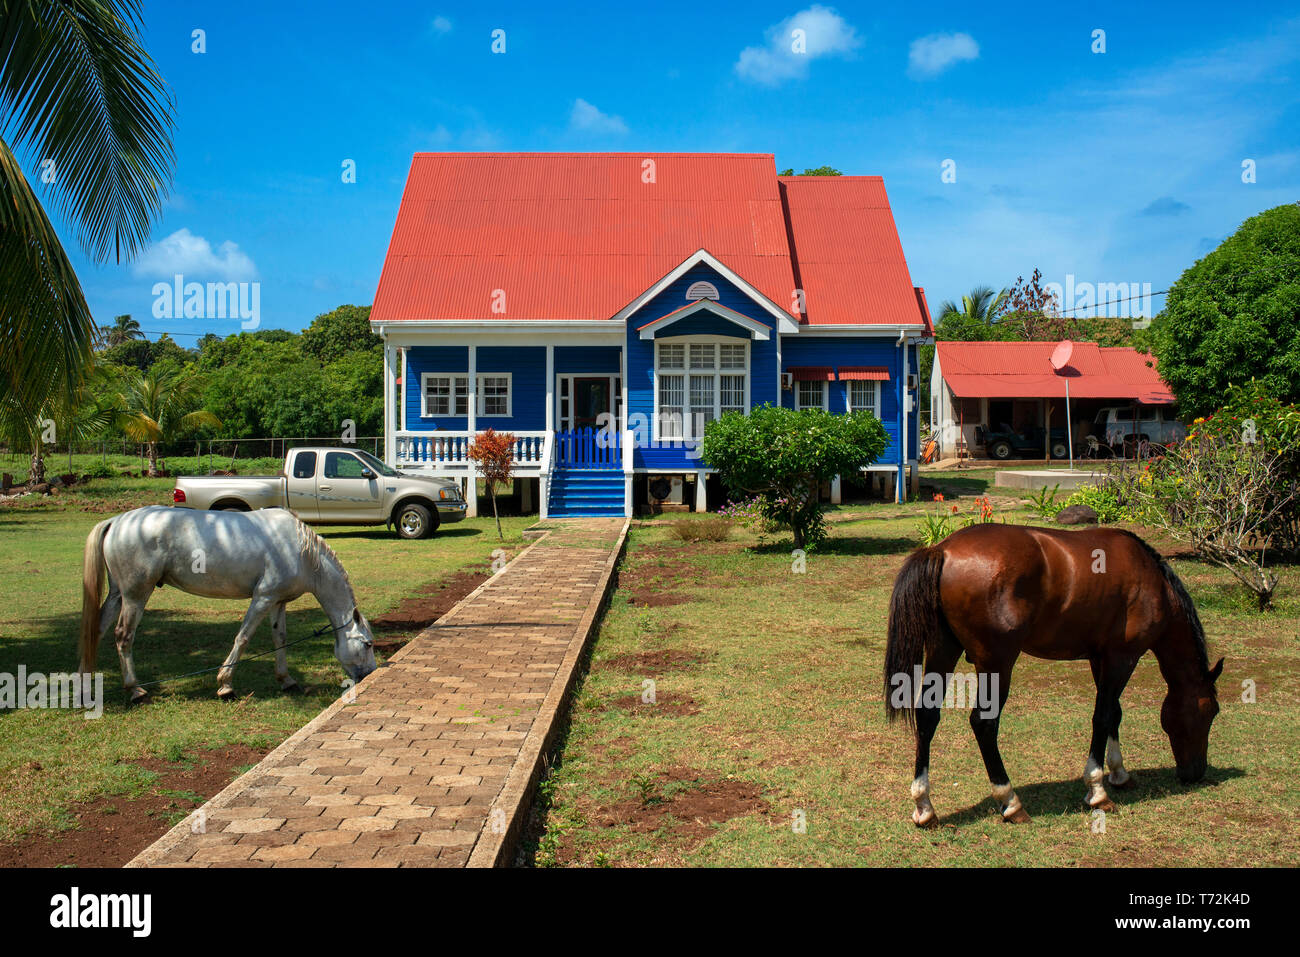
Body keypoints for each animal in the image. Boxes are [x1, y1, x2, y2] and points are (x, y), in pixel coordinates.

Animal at [79, 509, 377, 702]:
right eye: (367, 644)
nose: (370, 676)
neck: (302, 552)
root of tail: (116, 521)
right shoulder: (263, 598)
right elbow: (243, 638)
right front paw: (225, 685)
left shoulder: (277, 601)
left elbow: (279, 638)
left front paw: (286, 680)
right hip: (135, 596)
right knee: (123, 637)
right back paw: (135, 690)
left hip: (118, 595)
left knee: (95, 631)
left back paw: (84, 685)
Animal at [883, 520, 1216, 826]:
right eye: (1211, 712)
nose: (1195, 773)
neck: (1152, 581)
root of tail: (943, 550)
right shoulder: (1123, 658)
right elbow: (1103, 716)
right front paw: (1097, 789)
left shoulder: (1100, 658)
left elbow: (1115, 713)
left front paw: (1119, 773)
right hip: (997, 664)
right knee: (984, 724)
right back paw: (1010, 801)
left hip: (944, 651)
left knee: (928, 716)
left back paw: (924, 806)